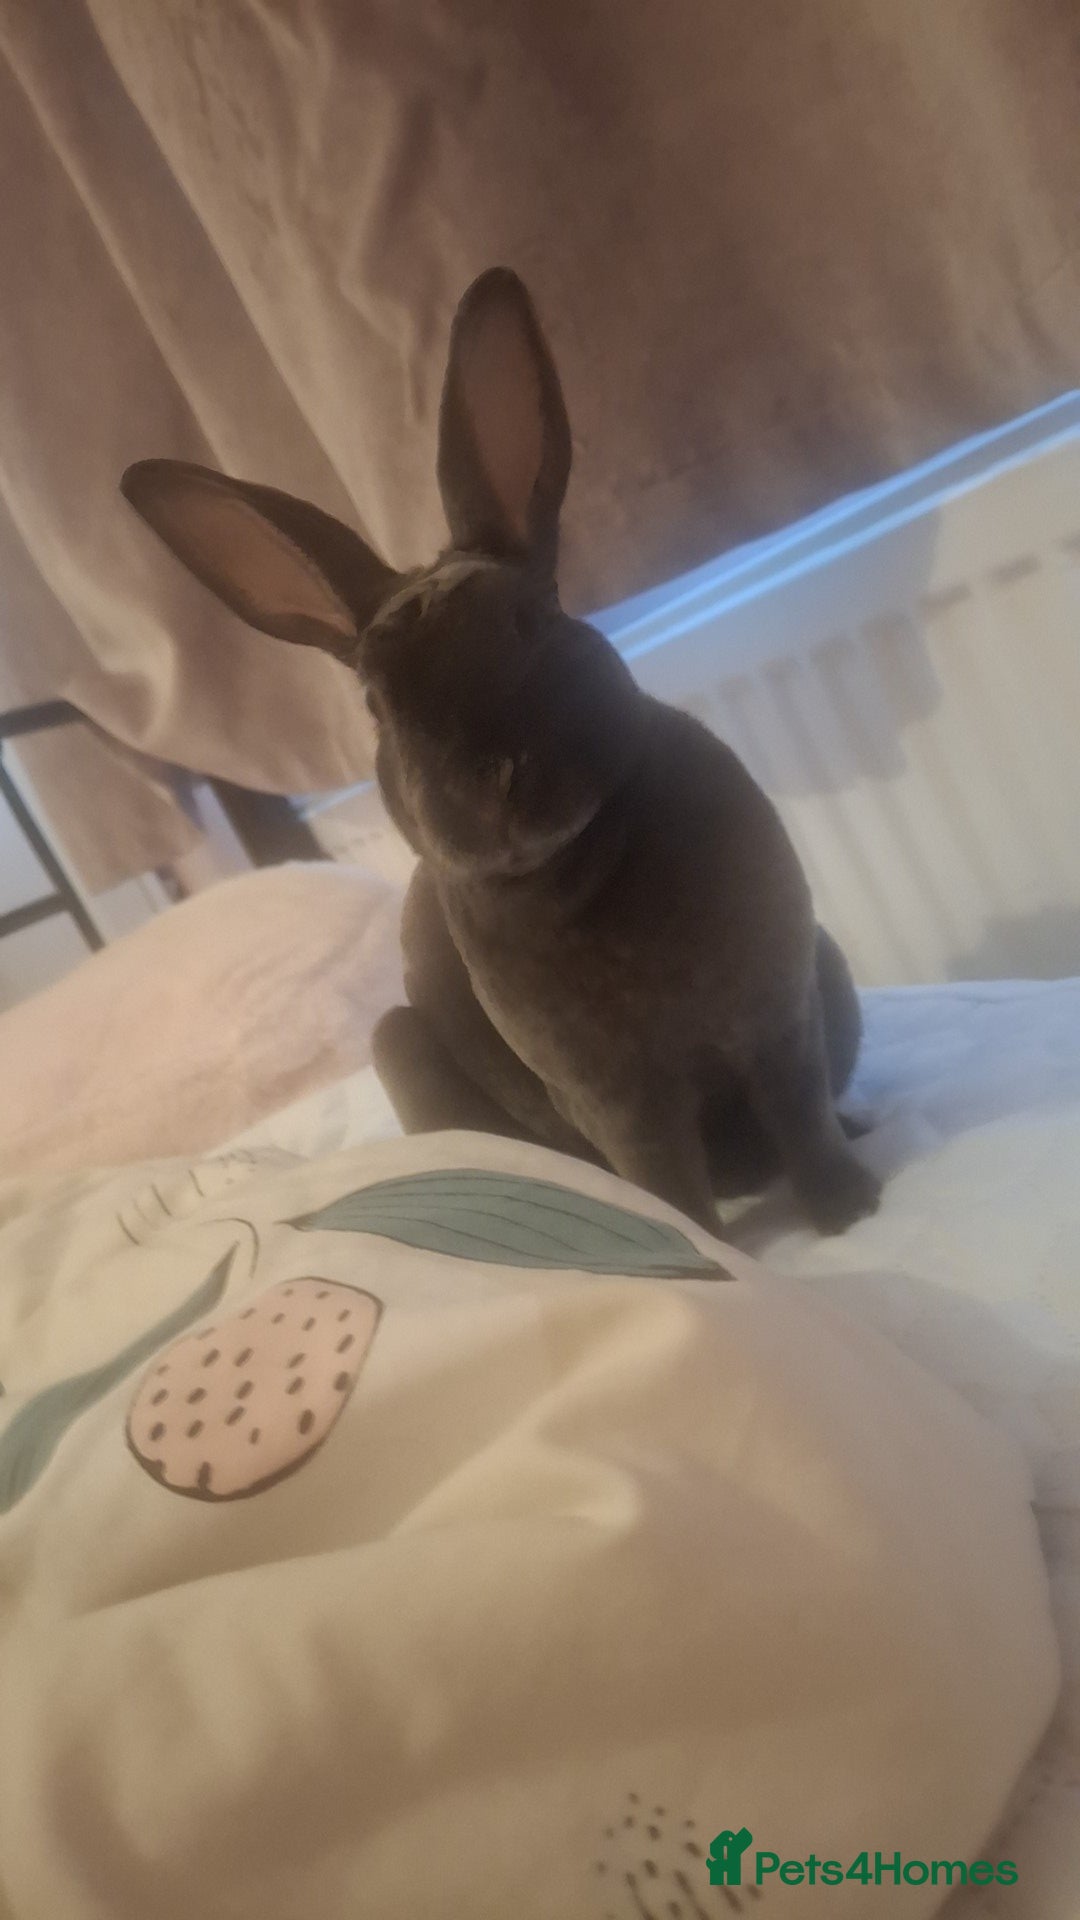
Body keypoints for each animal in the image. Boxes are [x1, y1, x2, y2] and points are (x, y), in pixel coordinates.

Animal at [121, 266, 880, 1238]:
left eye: (534, 621)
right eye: (377, 704)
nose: (495, 781)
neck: (584, 860)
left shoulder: (778, 1013)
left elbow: (801, 1111)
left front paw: (850, 1208)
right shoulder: (618, 1098)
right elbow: (667, 1183)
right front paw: (711, 1249)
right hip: (399, 1046)